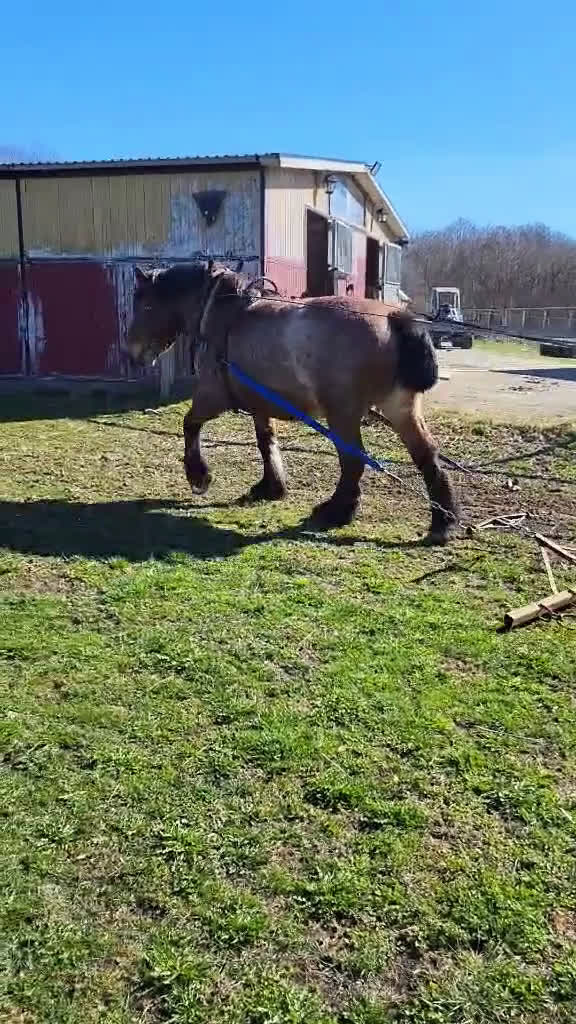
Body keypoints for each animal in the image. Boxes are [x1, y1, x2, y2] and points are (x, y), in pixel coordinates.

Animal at [125, 261, 459, 543]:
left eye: (144, 304)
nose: (133, 353)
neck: (225, 317)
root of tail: (393, 317)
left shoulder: (213, 396)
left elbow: (190, 424)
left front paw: (199, 476)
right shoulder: (260, 404)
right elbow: (265, 442)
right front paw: (270, 486)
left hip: (343, 413)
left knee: (353, 460)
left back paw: (336, 510)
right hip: (399, 406)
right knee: (426, 454)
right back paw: (443, 521)